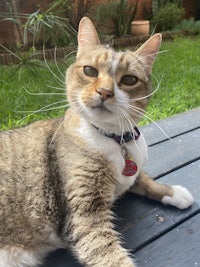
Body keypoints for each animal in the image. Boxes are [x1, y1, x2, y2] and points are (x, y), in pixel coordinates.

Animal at [0, 16, 194, 267]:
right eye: (90, 71)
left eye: (129, 79)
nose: (104, 92)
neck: (114, 139)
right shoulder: (84, 213)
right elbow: (108, 255)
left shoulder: (130, 173)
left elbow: (143, 178)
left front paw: (173, 193)